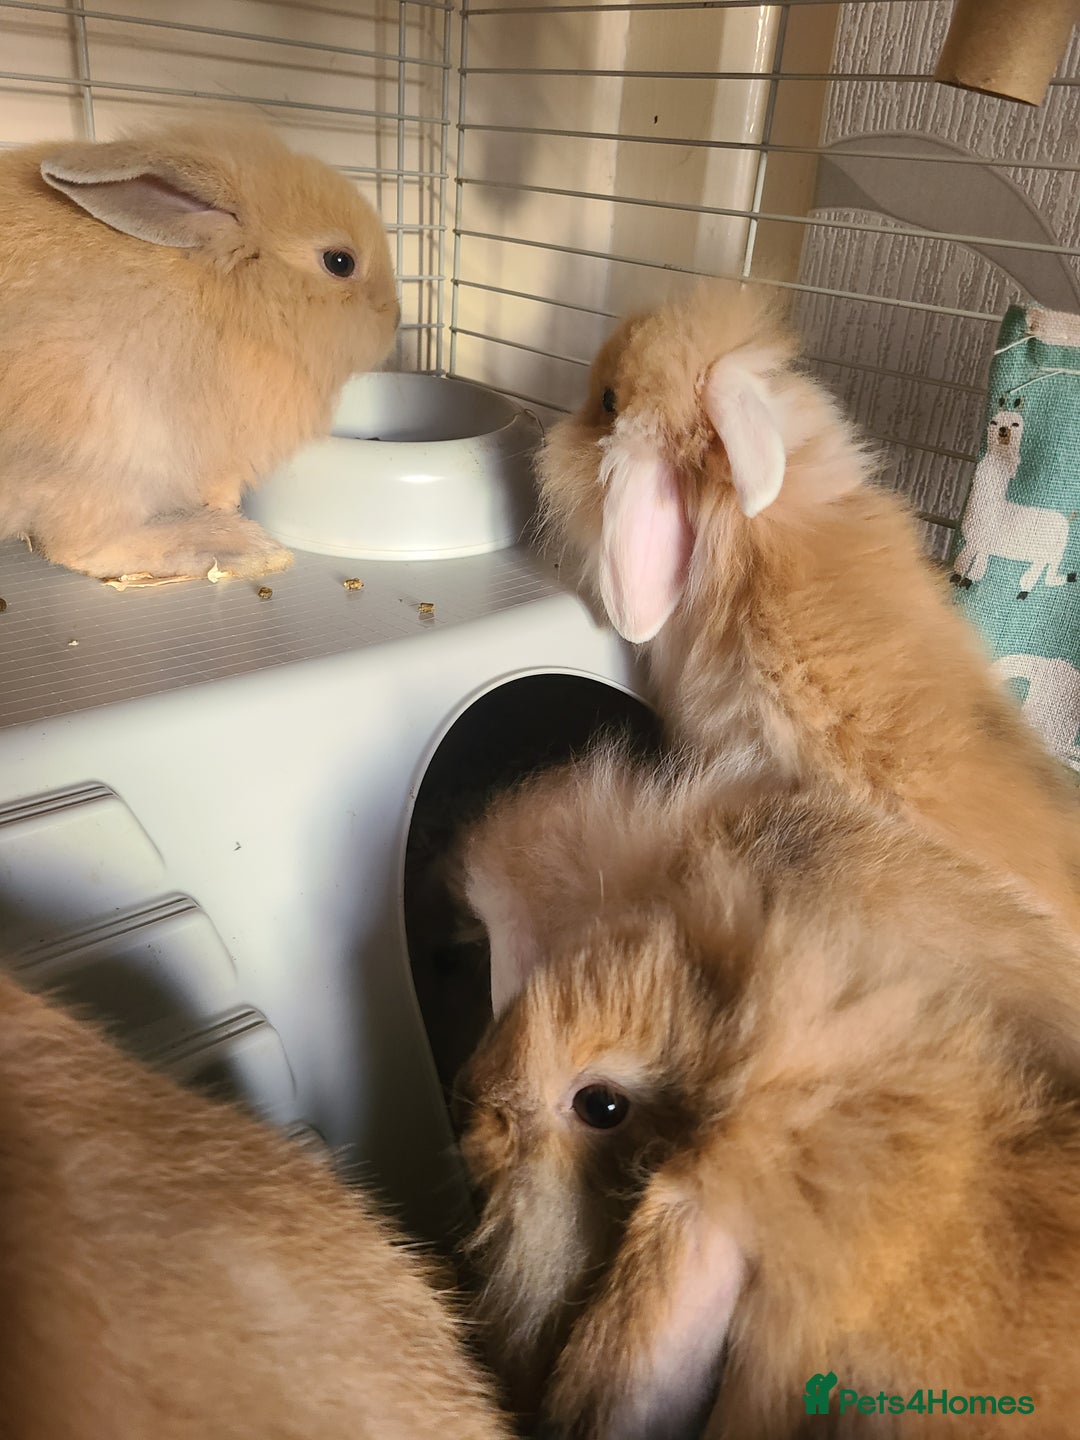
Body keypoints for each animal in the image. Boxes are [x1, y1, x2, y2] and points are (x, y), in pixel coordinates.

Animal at [0, 120, 398, 581]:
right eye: (339, 262)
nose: (396, 320)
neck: (243, 297)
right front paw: (226, 508)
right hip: (105, 455)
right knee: (78, 548)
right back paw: (237, 546)